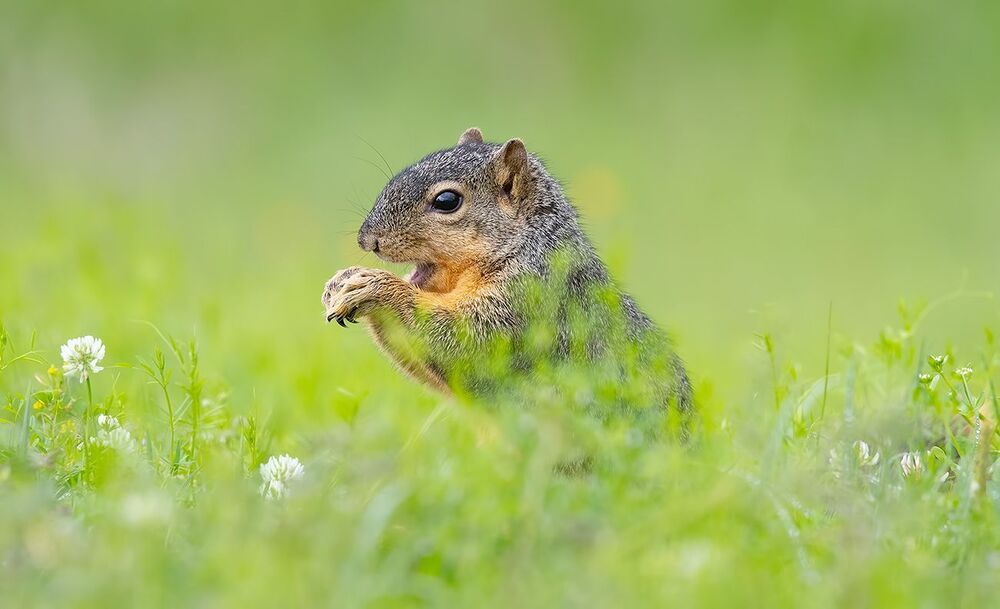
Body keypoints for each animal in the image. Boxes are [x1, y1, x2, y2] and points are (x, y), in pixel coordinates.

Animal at [322, 128, 691, 421]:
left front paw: (376, 287)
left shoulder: (531, 299)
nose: (367, 240)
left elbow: (469, 342)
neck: (525, 246)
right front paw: (341, 281)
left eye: (447, 201)